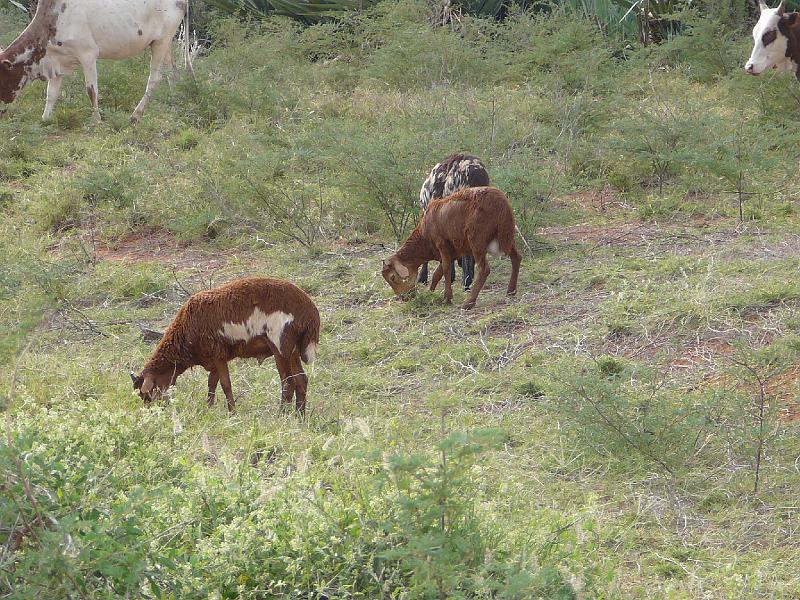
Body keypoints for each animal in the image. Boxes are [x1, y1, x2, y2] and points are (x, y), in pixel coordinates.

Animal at [0, 0, 191, 123]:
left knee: (155, 79)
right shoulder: (58, 60)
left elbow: (91, 91)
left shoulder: (88, 54)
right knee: (173, 74)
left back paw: (135, 115)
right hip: (165, 44)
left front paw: (98, 121)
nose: (2, 106)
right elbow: (51, 94)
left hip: (161, 42)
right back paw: (176, 104)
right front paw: (45, 119)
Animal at [130, 278, 320, 414]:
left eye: (147, 393)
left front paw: (232, 412)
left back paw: (281, 414)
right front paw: (209, 408)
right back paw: (300, 415)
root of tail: (310, 314)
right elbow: (212, 383)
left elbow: (225, 384)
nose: (153, 412)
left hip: (280, 346)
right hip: (293, 350)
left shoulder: (218, 354)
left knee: (288, 382)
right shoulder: (214, 359)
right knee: (301, 380)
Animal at [382, 186, 520, 310]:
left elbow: (446, 269)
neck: (424, 239)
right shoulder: (453, 251)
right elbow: (438, 273)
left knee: (484, 269)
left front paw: (447, 298)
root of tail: (502, 203)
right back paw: (511, 290)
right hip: (506, 235)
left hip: (477, 239)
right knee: (516, 257)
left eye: (392, 277)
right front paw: (430, 293)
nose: (404, 297)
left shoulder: (442, 244)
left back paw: (469, 303)